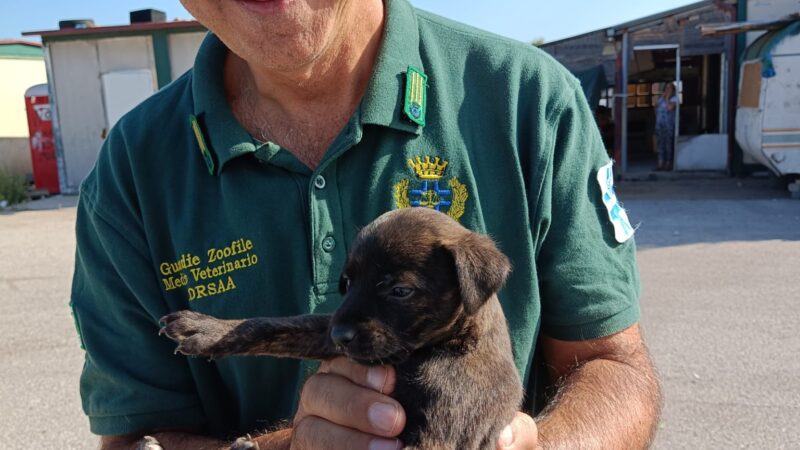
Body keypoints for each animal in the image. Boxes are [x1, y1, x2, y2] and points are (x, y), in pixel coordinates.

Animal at [163, 208, 524, 450]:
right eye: (347, 283)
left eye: (400, 291)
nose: (340, 337)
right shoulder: (328, 330)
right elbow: (273, 326)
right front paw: (206, 329)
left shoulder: (440, 434)